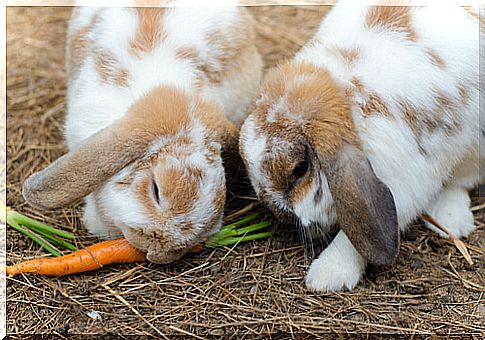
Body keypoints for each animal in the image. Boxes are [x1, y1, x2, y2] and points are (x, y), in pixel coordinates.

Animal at [237, 0, 480, 292]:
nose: (281, 214)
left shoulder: (403, 179)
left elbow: (353, 236)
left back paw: (452, 219)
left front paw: (326, 275)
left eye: (300, 169)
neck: (349, 96)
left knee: (461, 181)